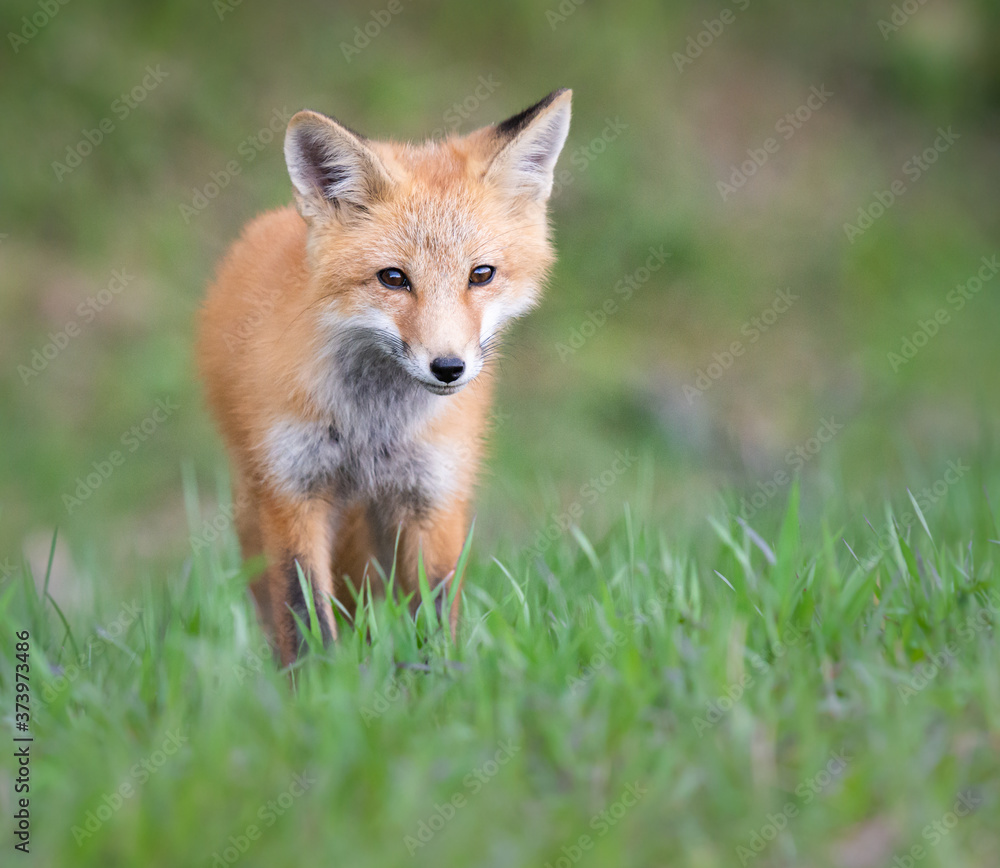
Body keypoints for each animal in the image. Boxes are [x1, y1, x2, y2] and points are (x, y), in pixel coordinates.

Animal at [196, 89, 572, 666]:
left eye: (480, 274)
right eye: (393, 278)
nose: (449, 368)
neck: (371, 427)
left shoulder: (433, 496)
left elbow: (436, 613)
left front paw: (440, 680)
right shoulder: (293, 492)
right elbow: (304, 614)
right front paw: (319, 684)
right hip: (255, 502)